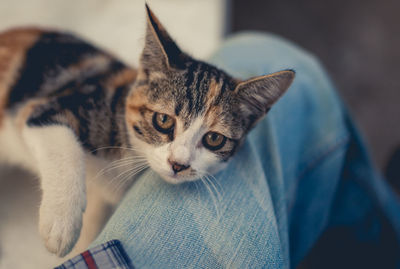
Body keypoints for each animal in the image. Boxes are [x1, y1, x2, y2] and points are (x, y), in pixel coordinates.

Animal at [0, 3, 294, 255]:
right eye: (163, 120)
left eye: (214, 138)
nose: (178, 164)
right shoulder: (50, 105)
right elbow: (59, 140)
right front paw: (61, 226)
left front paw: (82, 242)